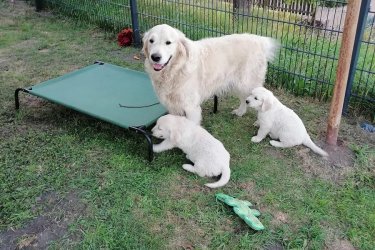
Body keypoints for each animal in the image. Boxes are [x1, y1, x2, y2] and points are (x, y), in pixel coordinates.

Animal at [142, 24, 278, 124]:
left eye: (168, 42)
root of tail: (260, 40)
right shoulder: (173, 106)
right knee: (244, 99)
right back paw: (240, 112)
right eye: (151, 41)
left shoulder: (191, 108)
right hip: (238, 84)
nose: (155, 57)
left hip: (248, 84)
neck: (175, 69)